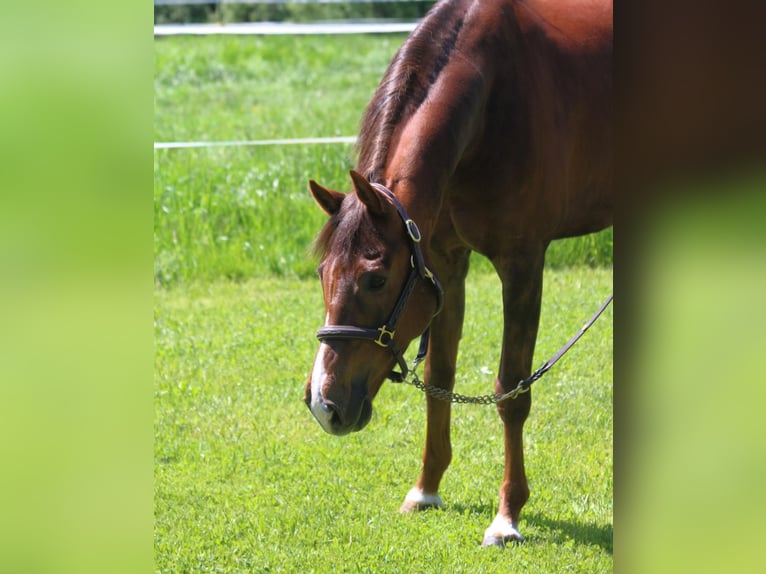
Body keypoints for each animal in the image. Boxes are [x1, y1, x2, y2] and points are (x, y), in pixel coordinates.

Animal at [304, 0, 612, 548]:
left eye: (375, 279)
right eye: (322, 273)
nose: (324, 404)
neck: (492, 98)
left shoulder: (522, 262)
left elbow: (512, 390)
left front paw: (507, 517)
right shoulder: (443, 264)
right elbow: (439, 375)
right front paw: (426, 489)